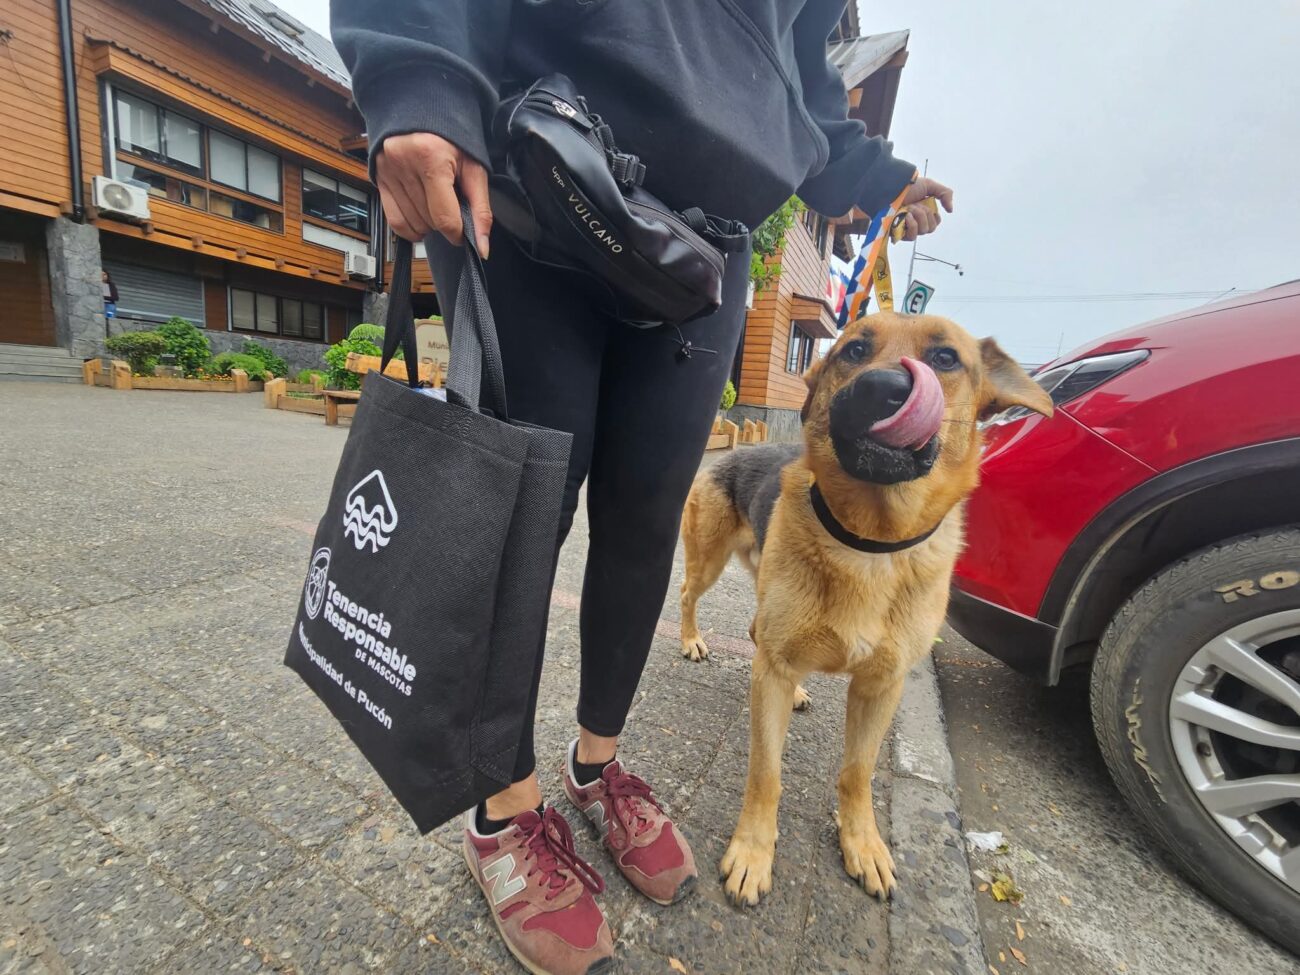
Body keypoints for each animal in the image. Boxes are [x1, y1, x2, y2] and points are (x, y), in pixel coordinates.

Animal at [676, 310, 1050, 909]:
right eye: (852, 350)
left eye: (945, 358)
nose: (884, 389)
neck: (870, 542)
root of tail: (731, 449)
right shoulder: (776, 676)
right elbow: (766, 773)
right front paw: (753, 852)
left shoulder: (881, 687)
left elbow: (858, 773)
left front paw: (863, 843)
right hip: (709, 561)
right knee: (690, 595)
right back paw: (691, 639)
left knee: (757, 633)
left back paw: (796, 691)